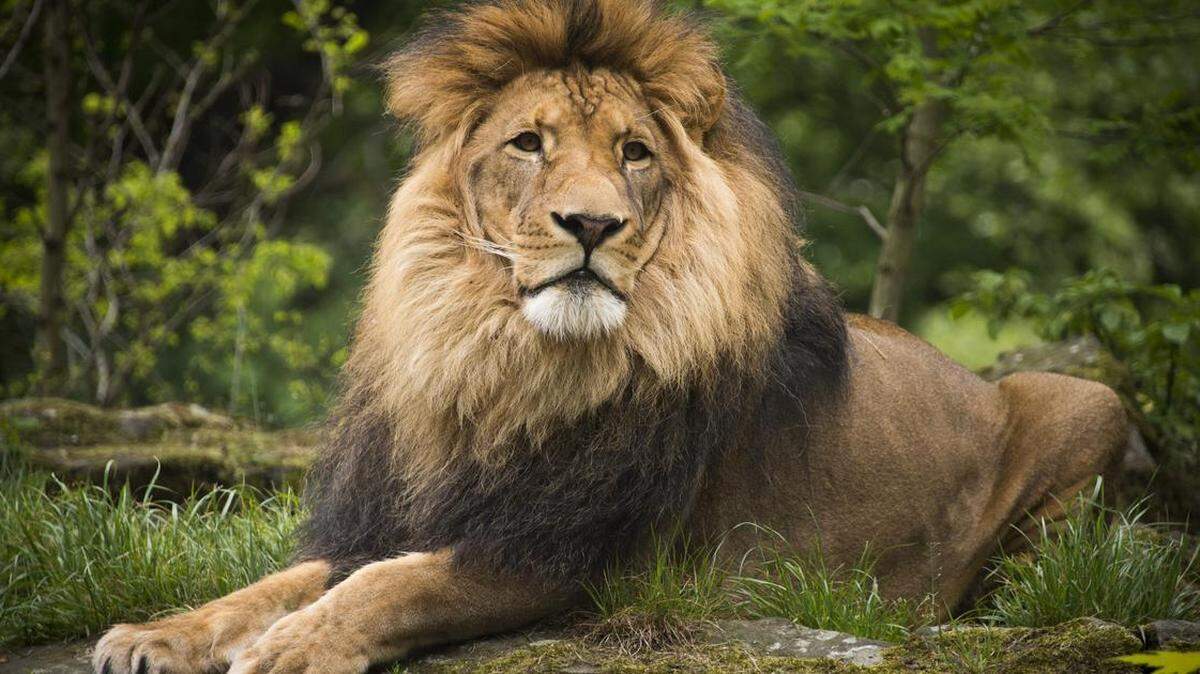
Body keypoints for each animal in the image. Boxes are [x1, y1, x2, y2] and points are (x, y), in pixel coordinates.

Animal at [92, 1, 1128, 672]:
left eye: (635, 152)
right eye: (528, 143)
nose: (592, 224)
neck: (505, 365)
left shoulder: (576, 557)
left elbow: (395, 586)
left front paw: (294, 648)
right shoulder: (405, 512)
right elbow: (286, 577)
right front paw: (158, 634)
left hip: (1088, 397)